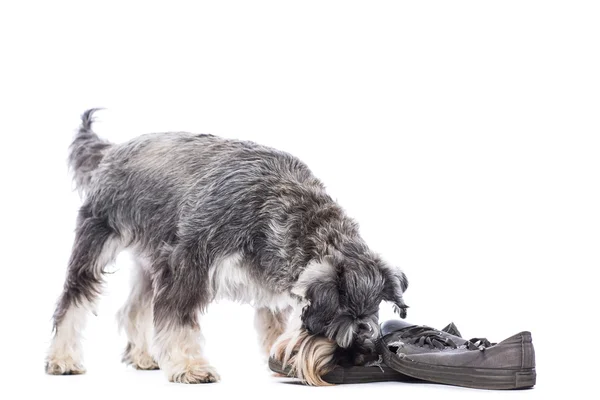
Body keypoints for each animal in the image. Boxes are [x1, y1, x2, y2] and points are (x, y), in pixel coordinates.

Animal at [45, 108, 408, 384]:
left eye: (369, 325)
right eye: (339, 324)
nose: (357, 359)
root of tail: (112, 150)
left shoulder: (270, 283)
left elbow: (273, 327)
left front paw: (278, 357)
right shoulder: (187, 265)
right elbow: (178, 319)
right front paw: (190, 367)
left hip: (150, 261)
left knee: (133, 308)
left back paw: (144, 356)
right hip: (96, 242)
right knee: (73, 300)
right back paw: (63, 359)